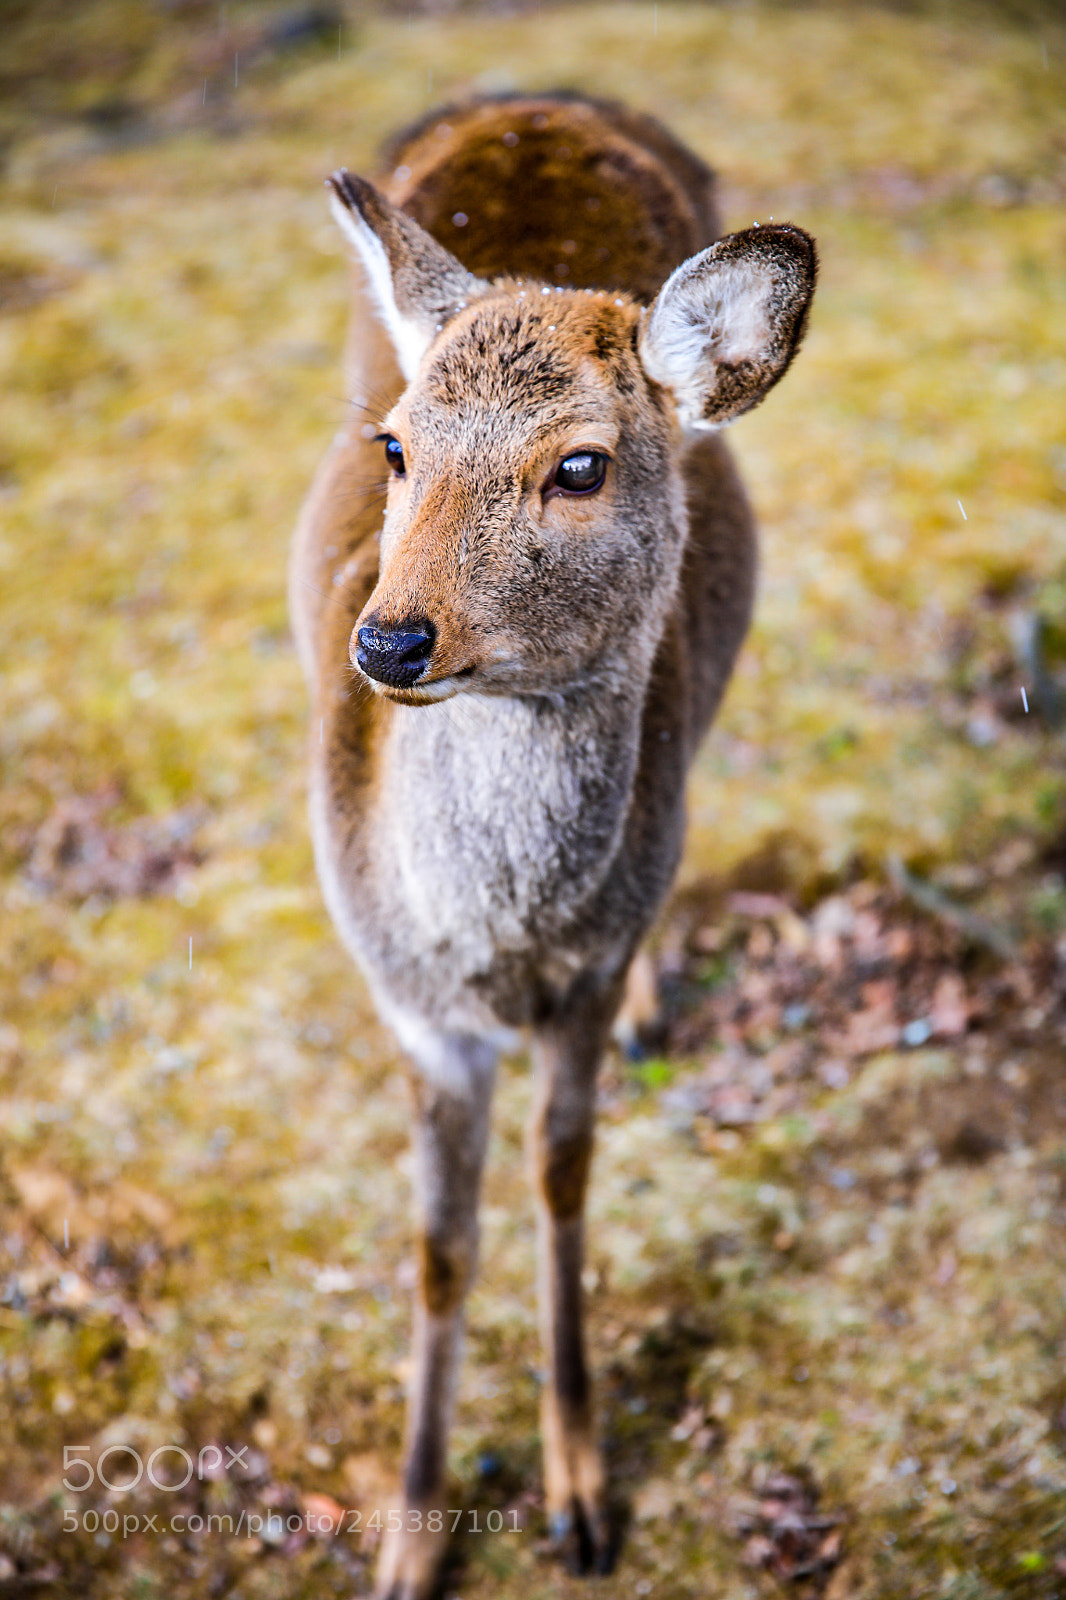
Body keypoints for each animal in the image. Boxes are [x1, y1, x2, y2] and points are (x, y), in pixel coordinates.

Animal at [289, 92, 816, 1600]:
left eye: (577, 466)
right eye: (395, 447)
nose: (388, 641)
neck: (497, 942)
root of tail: (543, 97)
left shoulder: (571, 991)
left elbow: (562, 1182)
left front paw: (581, 1496)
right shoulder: (411, 1011)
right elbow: (438, 1249)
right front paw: (410, 1539)